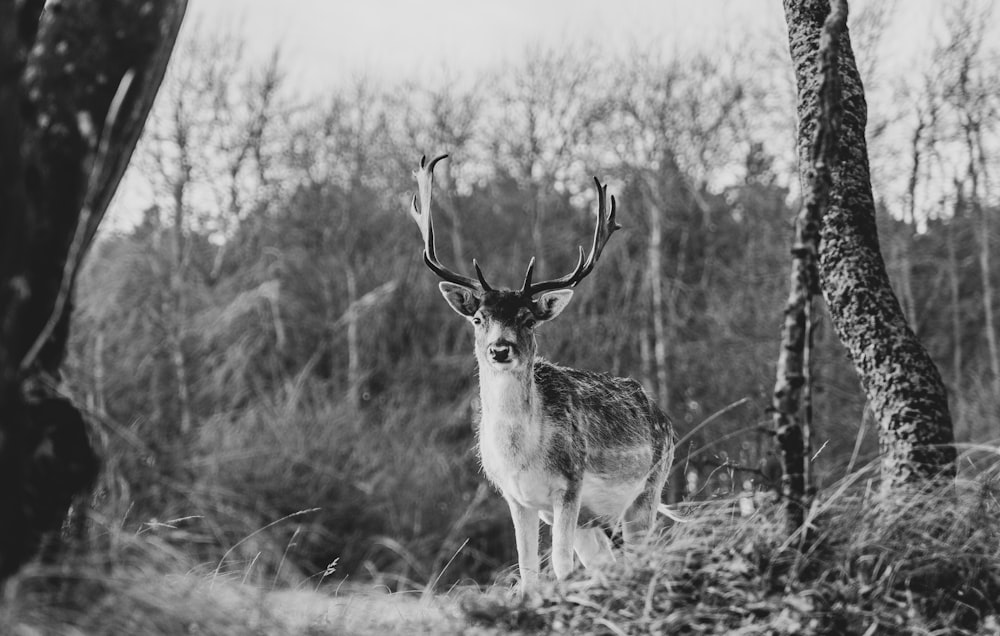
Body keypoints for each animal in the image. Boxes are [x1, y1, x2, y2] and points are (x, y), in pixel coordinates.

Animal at [408, 153, 680, 592]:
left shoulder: (569, 484)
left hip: (648, 490)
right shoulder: (515, 498)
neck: (523, 456)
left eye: (527, 319)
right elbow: (528, 570)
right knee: (604, 564)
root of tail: (665, 418)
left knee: (643, 551)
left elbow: (560, 567)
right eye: (479, 318)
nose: (500, 349)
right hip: (593, 522)